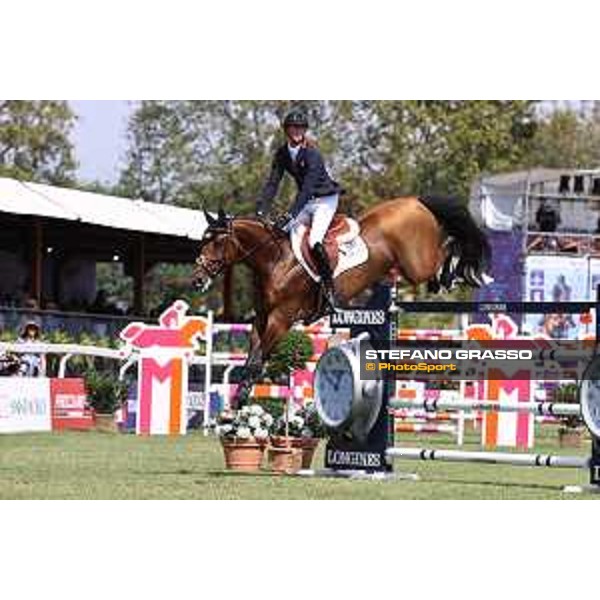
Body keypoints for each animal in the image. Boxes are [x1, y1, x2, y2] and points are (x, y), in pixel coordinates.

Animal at [195, 197, 490, 404]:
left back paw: (455, 275)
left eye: (217, 242)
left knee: (447, 248)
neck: (274, 260)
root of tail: (415, 201)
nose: (198, 279)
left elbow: (257, 360)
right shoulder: (262, 318)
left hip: (417, 263)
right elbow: (250, 360)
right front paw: (237, 404)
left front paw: (240, 404)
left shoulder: (281, 319)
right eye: (203, 240)